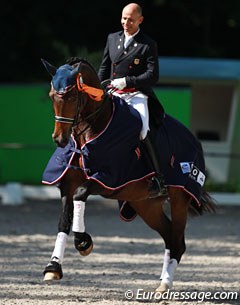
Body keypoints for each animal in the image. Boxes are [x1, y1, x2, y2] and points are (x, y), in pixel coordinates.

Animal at [40, 55, 215, 290]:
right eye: (52, 96)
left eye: (71, 96)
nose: (60, 139)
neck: (91, 129)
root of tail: (194, 140)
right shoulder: (67, 183)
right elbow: (64, 221)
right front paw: (53, 267)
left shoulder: (109, 180)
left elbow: (81, 194)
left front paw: (83, 242)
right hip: (144, 204)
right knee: (169, 237)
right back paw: (162, 282)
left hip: (180, 196)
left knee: (178, 241)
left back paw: (164, 285)